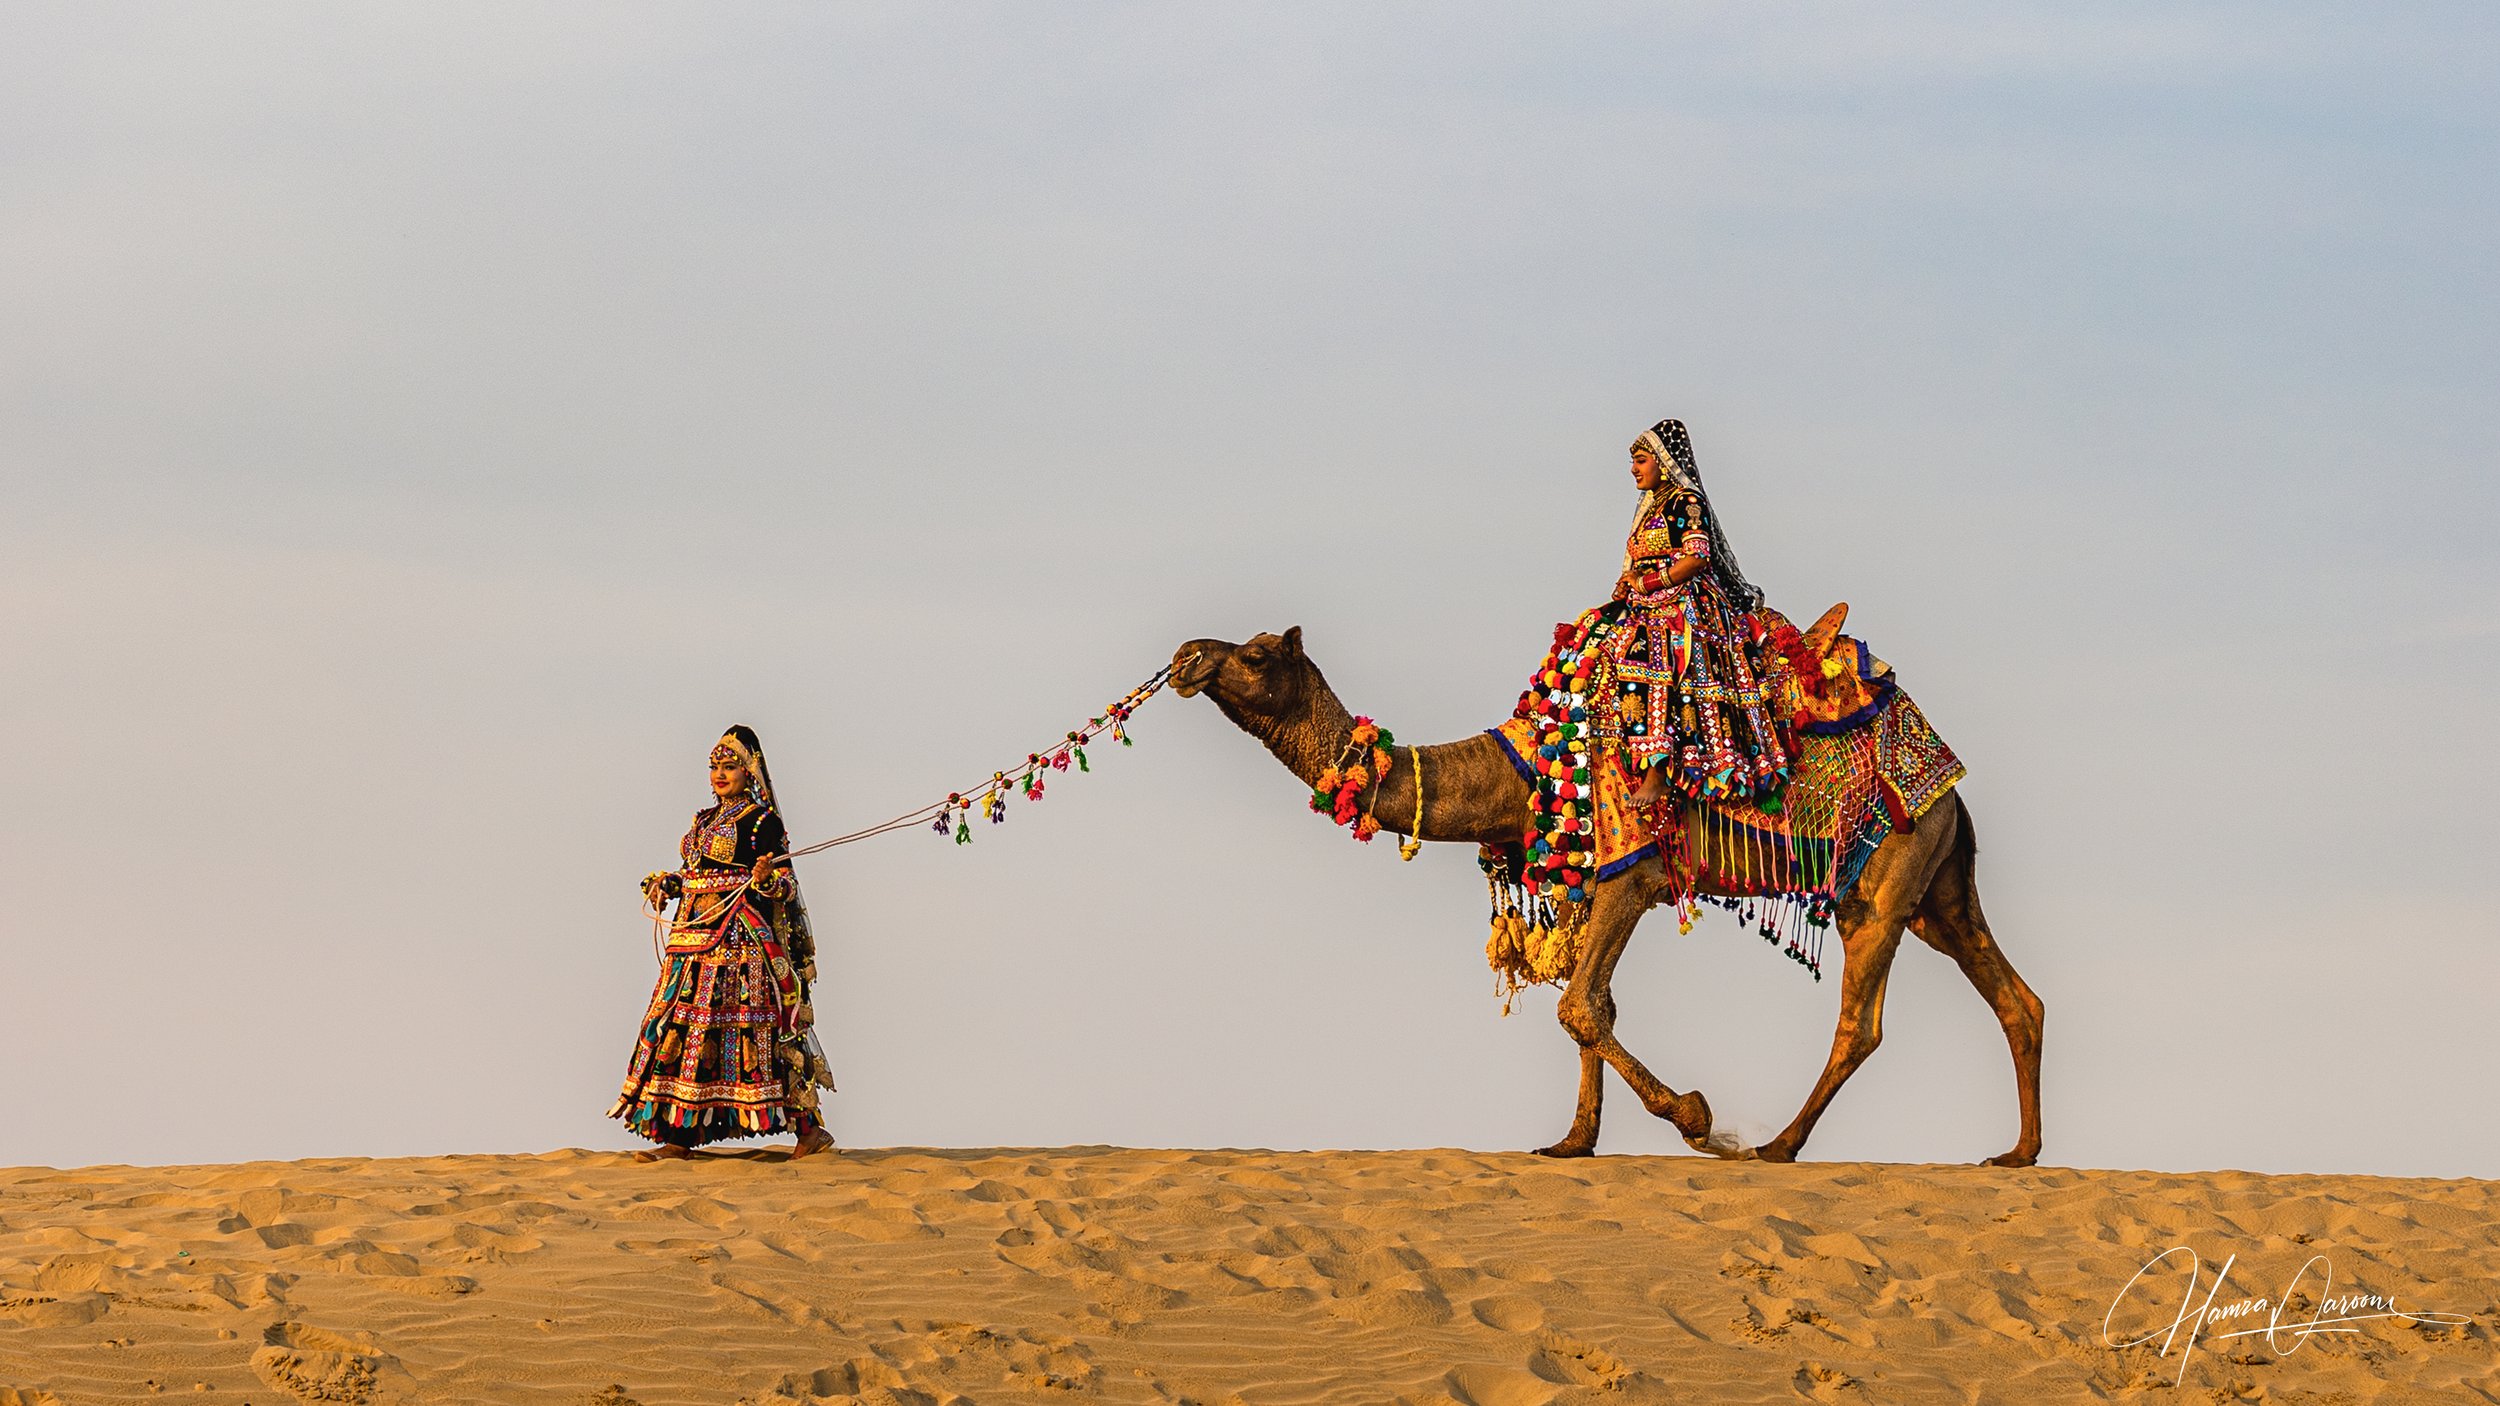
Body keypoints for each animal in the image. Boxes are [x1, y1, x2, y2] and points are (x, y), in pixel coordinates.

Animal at [1171, 627, 2044, 1166]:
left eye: (1255, 653)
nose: (1187, 654)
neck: (1523, 770)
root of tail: (1950, 785)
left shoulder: (1633, 873)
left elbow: (1580, 1006)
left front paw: (1695, 1115)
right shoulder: (1589, 883)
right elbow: (1594, 1006)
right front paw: (1572, 1142)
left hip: (1885, 881)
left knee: (1859, 1025)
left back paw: (1777, 1145)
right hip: (1941, 888)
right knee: (2016, 998)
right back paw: (2018, 1153)